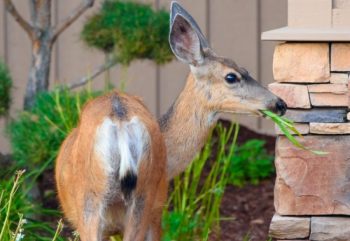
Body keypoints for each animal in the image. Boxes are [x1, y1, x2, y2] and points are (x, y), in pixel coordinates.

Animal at [54, 1, 284, 241]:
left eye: (246, 70)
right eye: (232, 76)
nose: (280, 103)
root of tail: (120, 119)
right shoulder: (155, 209)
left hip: (113, 200)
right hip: (124, 198)